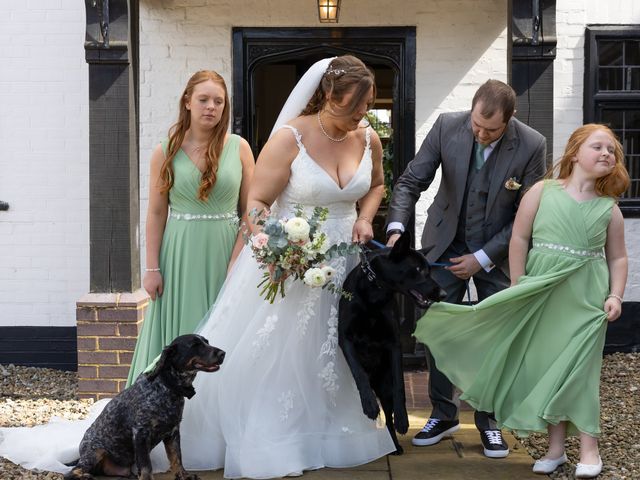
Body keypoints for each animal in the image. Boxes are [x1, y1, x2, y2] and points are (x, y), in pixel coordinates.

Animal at [65, 334, 225, 480]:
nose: (223, 353)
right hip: (96, 452)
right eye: (195, 345)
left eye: (207, 342)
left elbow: (177, 457)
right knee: (71, 472)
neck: (168, 386)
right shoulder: (141, 432)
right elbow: (147, 466)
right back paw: (85, 476)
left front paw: (184, 475)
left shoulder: (173, 432)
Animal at [338, 232, 448, 454]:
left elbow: (400, 386)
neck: (376, 291)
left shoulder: (394, 343)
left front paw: (403, 419)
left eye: (429, 269)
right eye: (418, 270)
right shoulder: (345, 337)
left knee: (388, 415)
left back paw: (394, 445)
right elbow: (359, 372)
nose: (443, 294)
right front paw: (369, 403)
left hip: (384, 384)